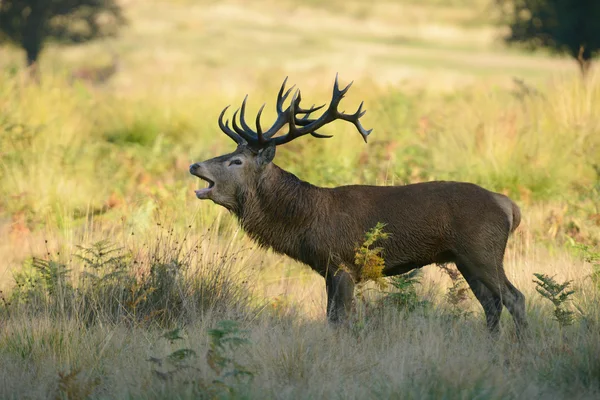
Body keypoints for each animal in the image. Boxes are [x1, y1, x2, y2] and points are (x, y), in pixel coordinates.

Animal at [190, 76, 528, 338]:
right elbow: (331, 318)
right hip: (464, 259)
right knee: (491, 304)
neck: (303, 220)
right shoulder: (327, 269)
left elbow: (341, 320)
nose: (195, 165)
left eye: (236, 161)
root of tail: (509, 206)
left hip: (483, 250)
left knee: (515, 298)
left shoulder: (343, 263)